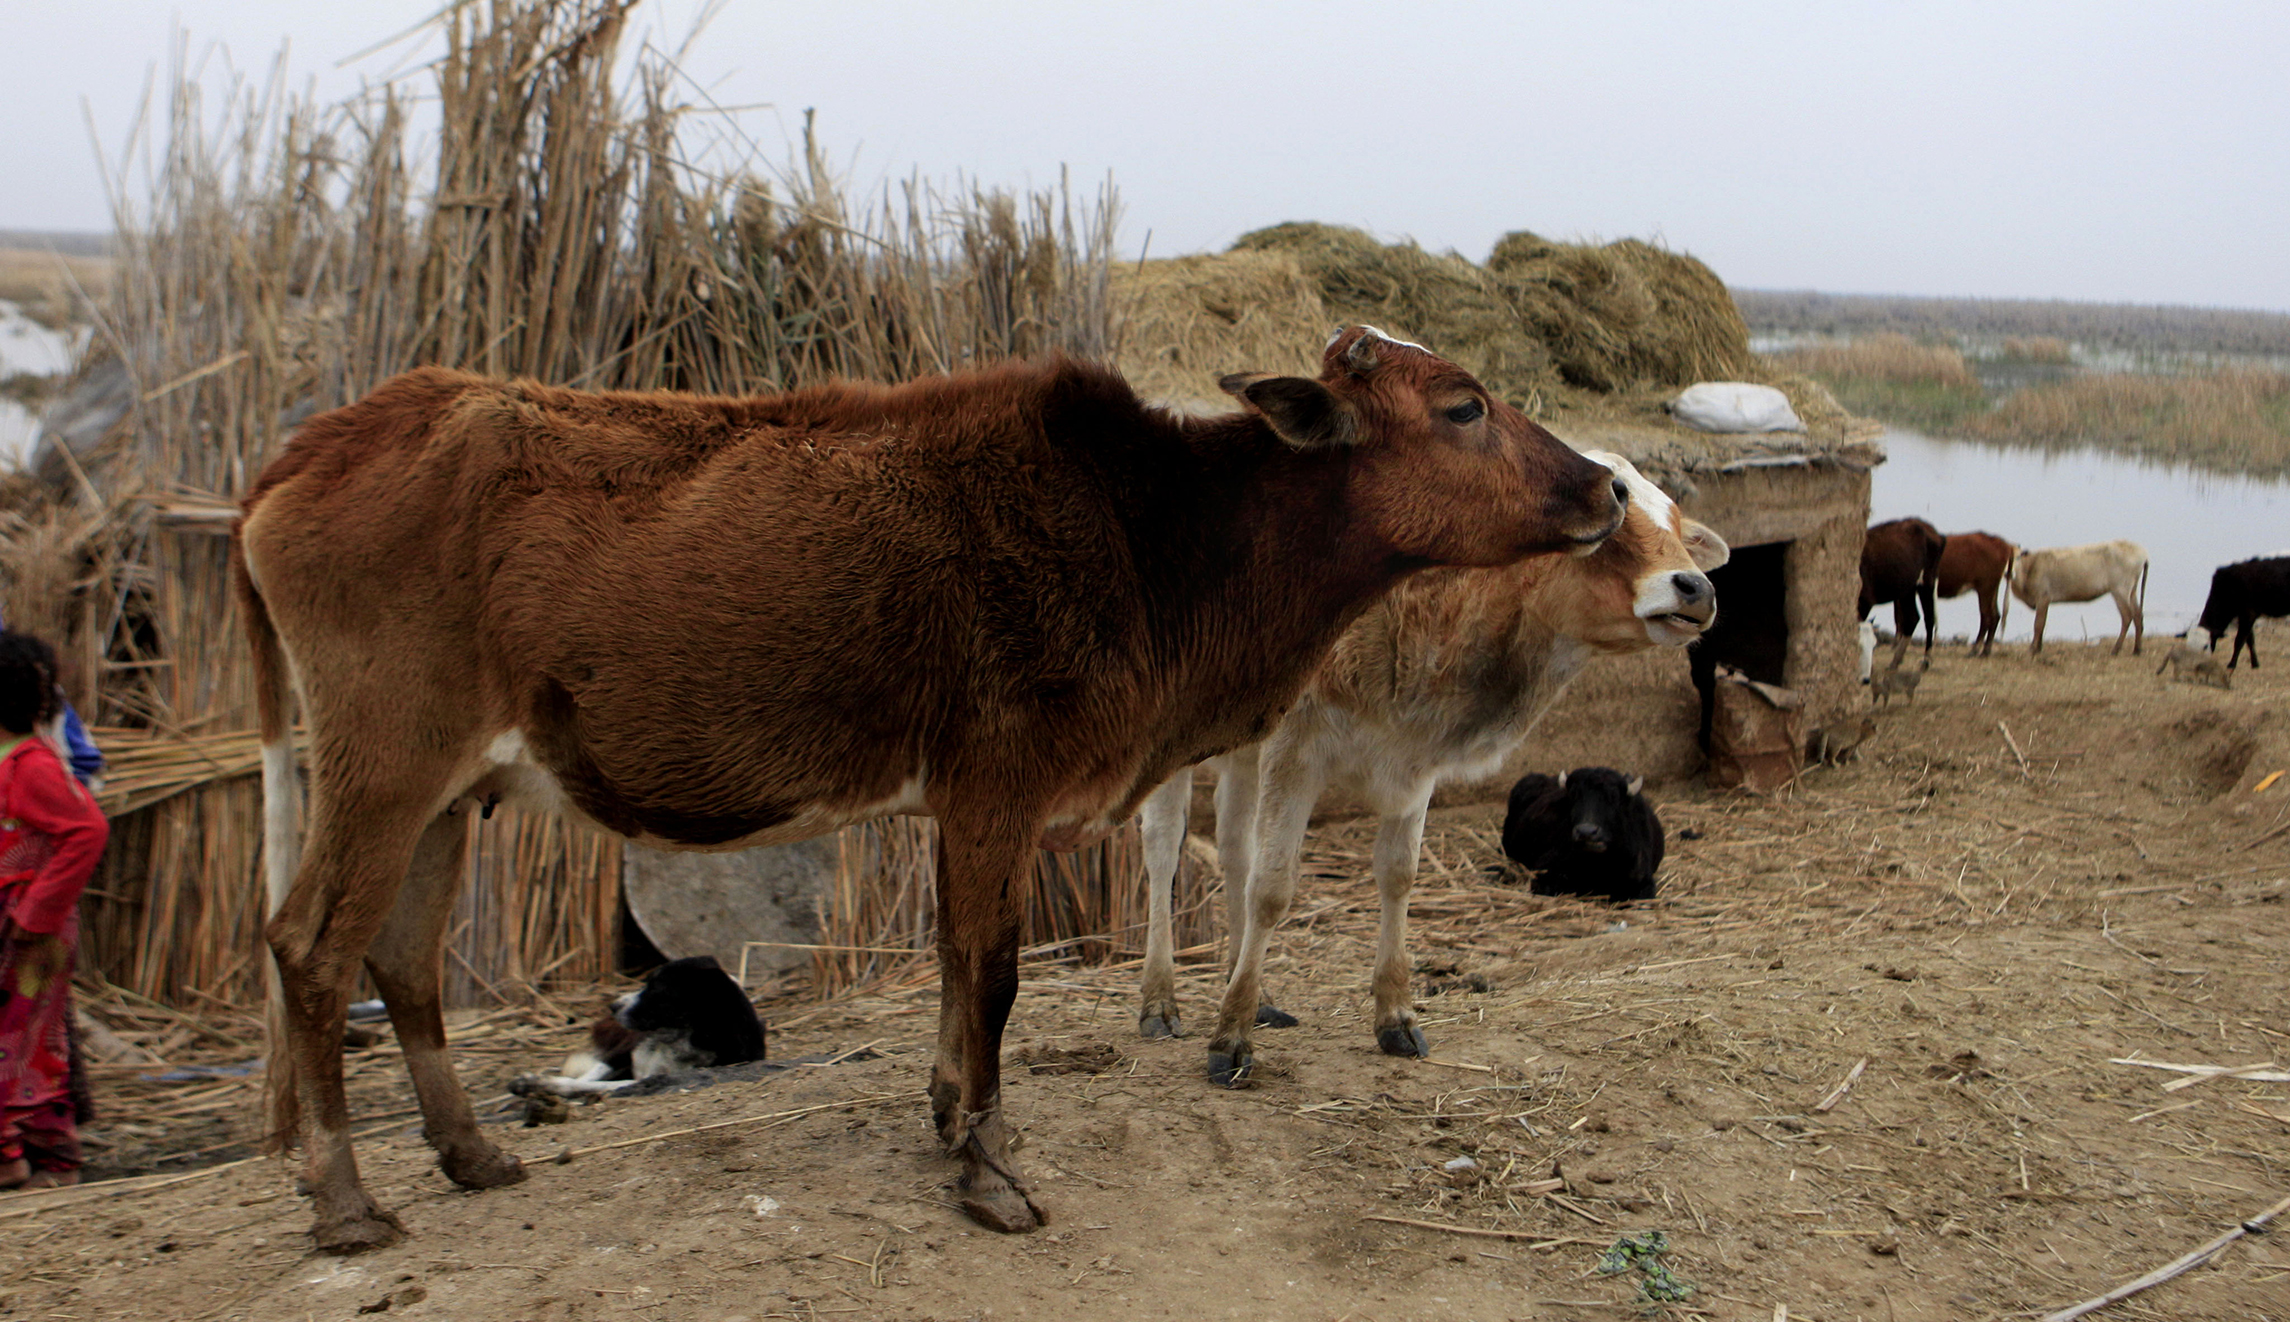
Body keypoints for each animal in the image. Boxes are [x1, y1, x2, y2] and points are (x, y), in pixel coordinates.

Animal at [233, 327, 1625, 1251]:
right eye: (1462, 406)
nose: (1608, 486)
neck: (1158, 535)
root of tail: (308, 447)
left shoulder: (968, 805)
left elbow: (959, 970)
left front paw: (951, 1115)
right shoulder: (995, 787)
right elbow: (991, 969)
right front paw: (988, 1163)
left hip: (447, 790)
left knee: (403, 958)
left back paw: (468, 1152)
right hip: (382, 763)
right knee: (310, 947)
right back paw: (343, 1196)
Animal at [1859, 518, 1946, 664]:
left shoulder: (1865, 600)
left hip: (1926, 583)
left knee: (1929, 619)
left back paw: (1926, 660)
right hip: (1907, 590)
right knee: (1913, 618)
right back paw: (1896, 660)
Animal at [2007, 540, 2149, 656]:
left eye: (2018, 557)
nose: (2009, 572)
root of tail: (2143, 554)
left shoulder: (2043, 596)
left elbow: (2038, 624)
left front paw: (2032, 649)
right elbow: (2042, 625)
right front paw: (2038, 648)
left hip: (2120, 588)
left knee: (2127, 616)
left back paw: (2115, 649)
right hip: (2131, 590)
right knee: (2138, 615)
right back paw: (2137, 650)